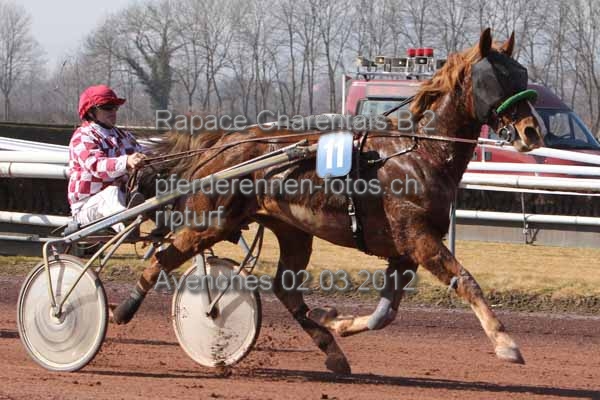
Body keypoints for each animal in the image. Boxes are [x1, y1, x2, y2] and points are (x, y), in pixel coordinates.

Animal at [111, 28, 544, 376]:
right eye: (496, 78)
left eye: (522, 74)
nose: (531, 130)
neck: (419, 153)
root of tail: (221, 144)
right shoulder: (418, 239)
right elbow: (466, 281)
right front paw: (507, 344)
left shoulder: (404, 252)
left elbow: (385, 315)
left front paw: (335, 322)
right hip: (211, 221)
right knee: (163, 256)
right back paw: (122, 310)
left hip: (292, 230)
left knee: (285, 287)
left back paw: (331, 349)